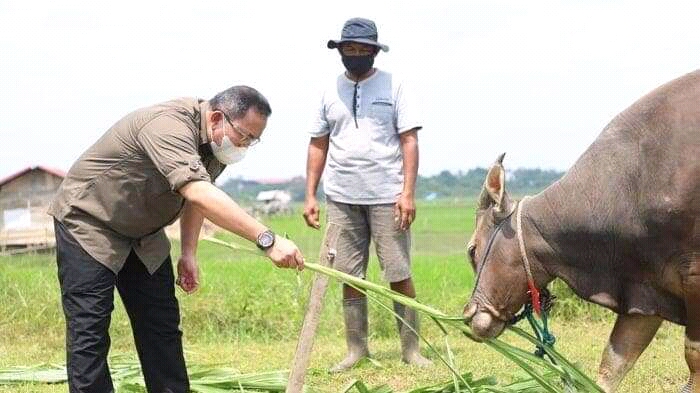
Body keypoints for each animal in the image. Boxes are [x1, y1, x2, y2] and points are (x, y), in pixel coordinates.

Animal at [464, 69, 700, 390]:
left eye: (472, 251)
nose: (469, 314)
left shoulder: (694, 277)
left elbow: (693, 358)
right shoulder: (647, 287)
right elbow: (614, 361)